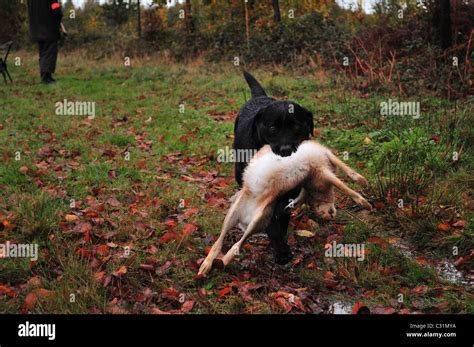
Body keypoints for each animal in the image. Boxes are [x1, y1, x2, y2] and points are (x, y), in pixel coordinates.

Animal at [231, 72, 312, 266]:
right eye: (273, 128)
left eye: (297, 126)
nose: (286, 149)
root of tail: (260, 97)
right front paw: (280, 250)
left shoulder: (290, 190)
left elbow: (280, 216)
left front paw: (281, 244)